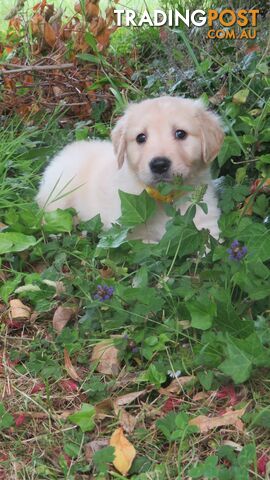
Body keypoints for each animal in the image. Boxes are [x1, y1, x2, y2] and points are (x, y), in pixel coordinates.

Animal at [37, 96, 225, 242]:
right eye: (141, 137)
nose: (159, 165)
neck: (164, 197)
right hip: (59, 194)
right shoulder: (127, 232)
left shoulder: (206, 222)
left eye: (181, 133)